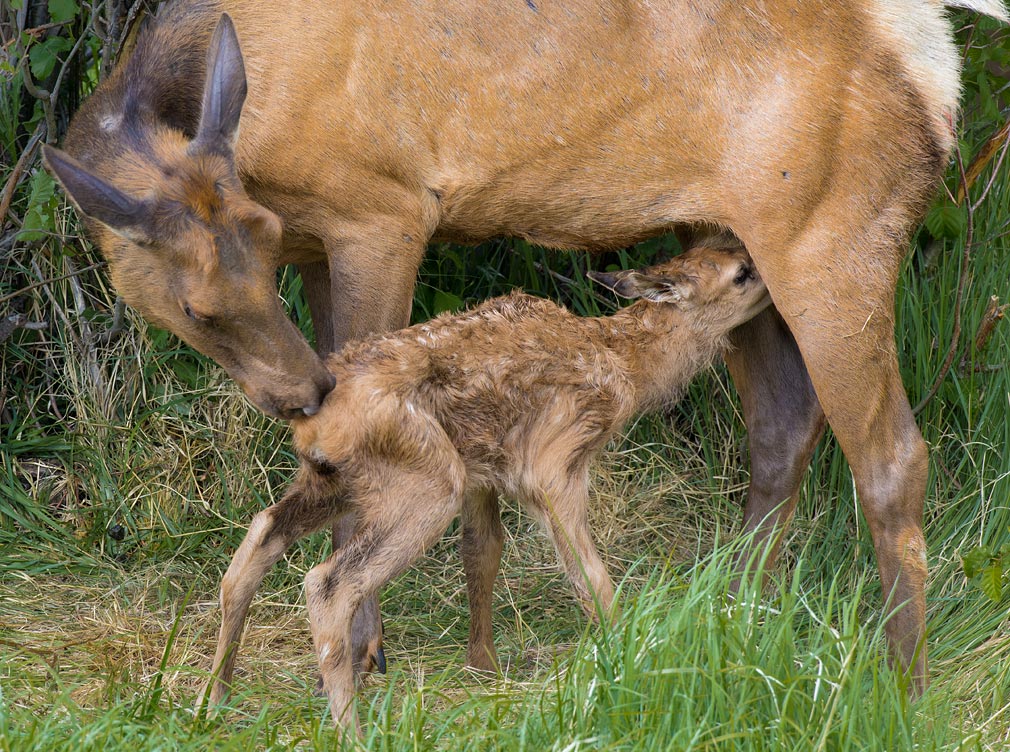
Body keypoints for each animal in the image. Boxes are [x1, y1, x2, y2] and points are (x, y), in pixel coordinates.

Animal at [207, 242, 770, 734]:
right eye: (741, 272)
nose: (767, 273)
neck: (626, 366)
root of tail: (314, 423)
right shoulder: (553, 463)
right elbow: (589, 576)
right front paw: (633, 658)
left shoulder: (483, 473)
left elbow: (483, 553)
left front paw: (484, 667)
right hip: (427, 484)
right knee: (327, 583)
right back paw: (350, 730)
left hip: (340, 481)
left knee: (260, 535)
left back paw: (213, 700)